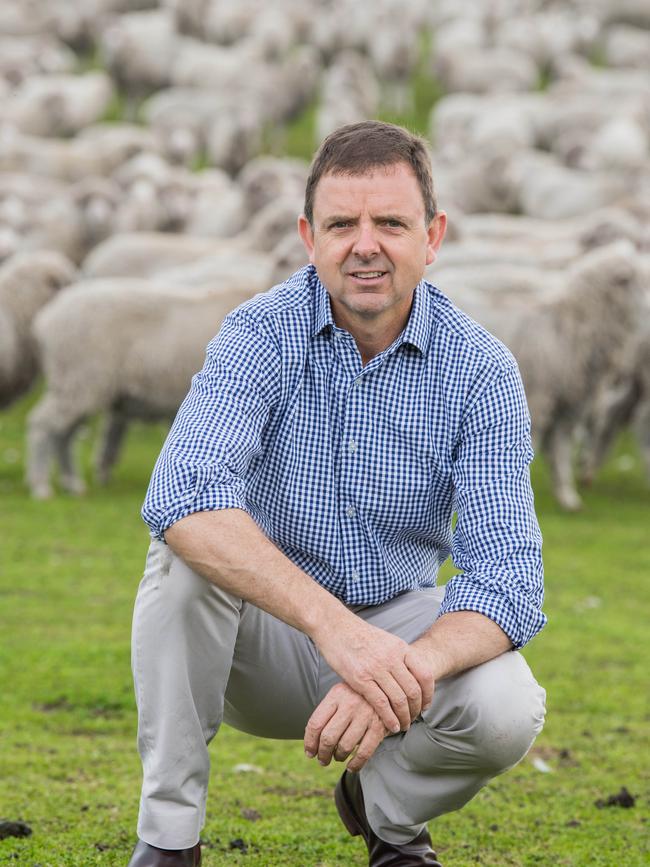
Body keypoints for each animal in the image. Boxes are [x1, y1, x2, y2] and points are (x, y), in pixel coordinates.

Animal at [27, 278, 260, 496]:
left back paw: (72, 483)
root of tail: (46, 319)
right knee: (43, 424)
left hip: (78, 382)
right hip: (80, 377)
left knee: (63, 432)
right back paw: (41, 485)